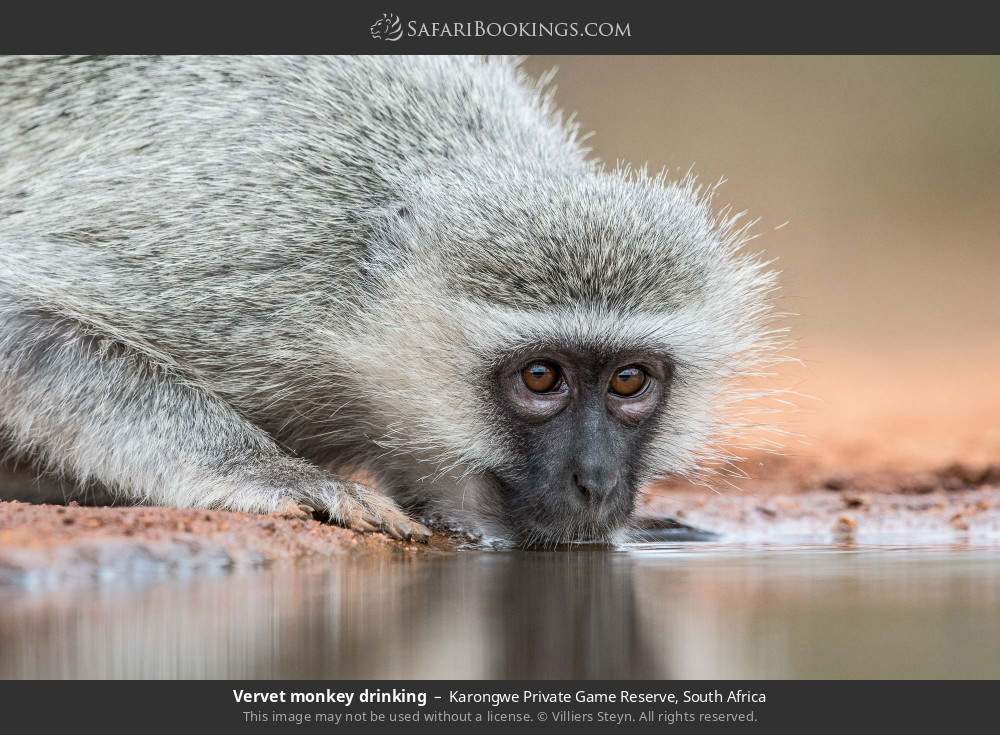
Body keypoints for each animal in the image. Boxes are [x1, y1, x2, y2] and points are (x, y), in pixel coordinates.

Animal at [0, 56, 777, 547]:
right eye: (540, 377)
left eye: (628, 381)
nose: (595, 480)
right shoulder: (253, 269)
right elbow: (23, 312)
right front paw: (275, 472)